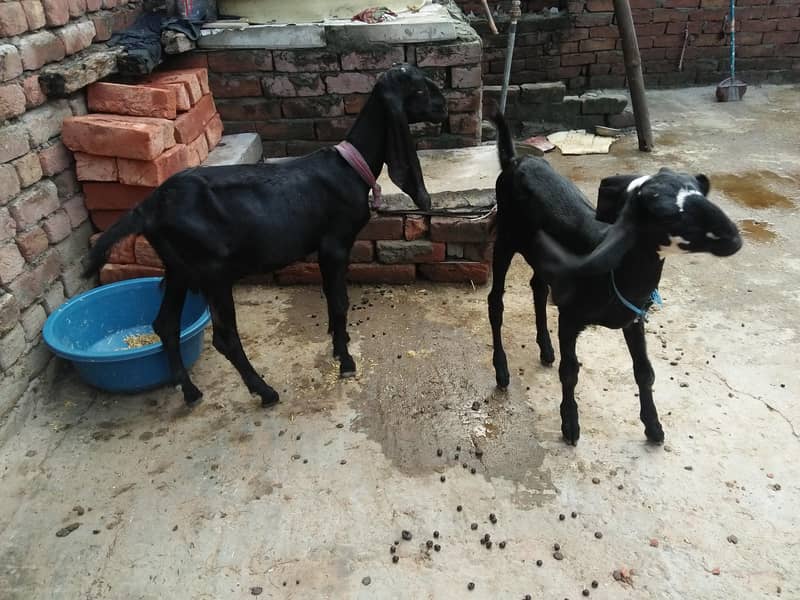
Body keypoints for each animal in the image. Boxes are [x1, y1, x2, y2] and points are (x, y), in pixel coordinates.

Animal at [83, 64, 447, 408]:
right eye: (418, 88)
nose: (443, 106)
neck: (349, 167)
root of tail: (149, 207)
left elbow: (331, 298)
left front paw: (336, 342)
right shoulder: (334, 244)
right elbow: (340, 301)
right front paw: (345, 360)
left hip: (178, 267)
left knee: (165, 324)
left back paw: (190, 391)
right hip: (211, 270)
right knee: (224, 337)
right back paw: (264, 391)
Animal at [487, 112, 742, 445]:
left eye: (699, 192)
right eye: (665, 214)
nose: (732, 236)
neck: (616, 274)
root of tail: (514, 160)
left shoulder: (633, 318)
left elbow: (644, 371)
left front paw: (654, 428)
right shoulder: (570, 316)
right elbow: (570, 372)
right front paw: (570, 425)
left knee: (538, 288)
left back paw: (545, 348)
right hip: (504, 238)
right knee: (496, 302)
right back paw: (502, 371)